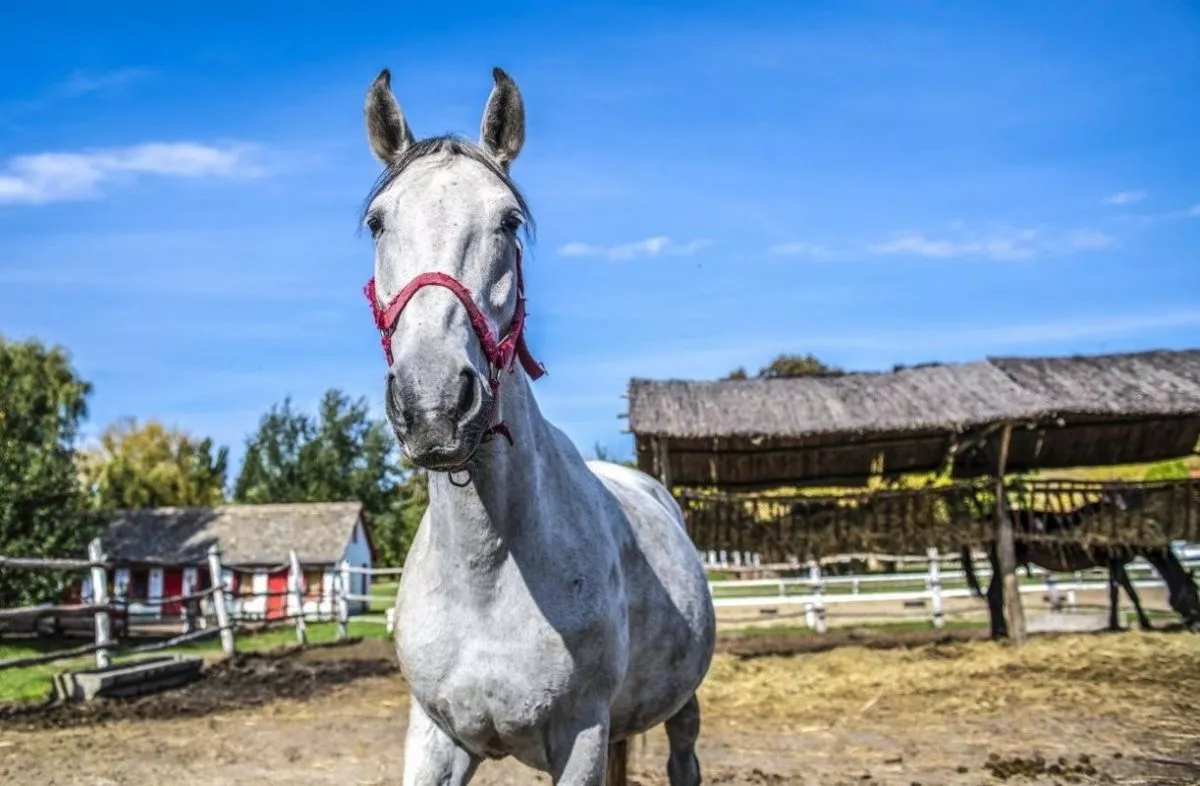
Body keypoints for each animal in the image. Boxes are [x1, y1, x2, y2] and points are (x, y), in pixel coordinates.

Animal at [355, 67, 710, 786]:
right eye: (378, 223)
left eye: (508, 220)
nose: (434, 403)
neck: (485, 577)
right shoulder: (434, 736)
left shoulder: (580, 735)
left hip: (681, 705)